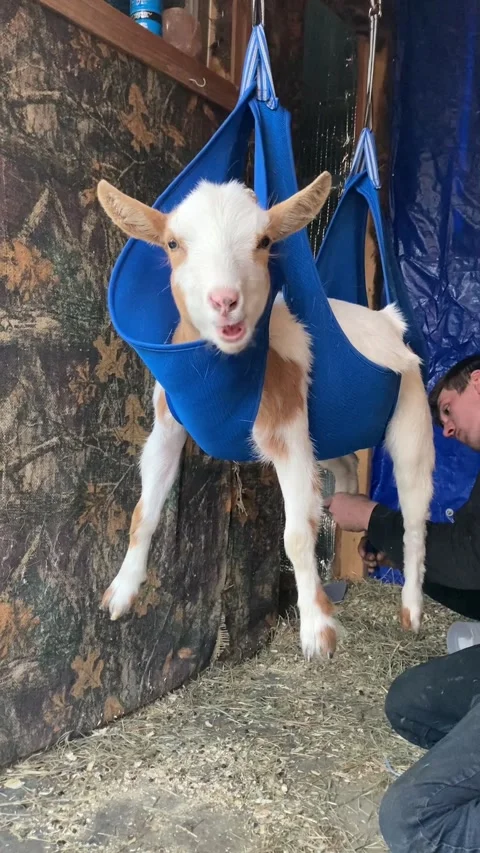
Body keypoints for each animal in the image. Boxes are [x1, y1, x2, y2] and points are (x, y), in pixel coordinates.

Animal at [97, 174, 434, 659]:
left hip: (411, 412)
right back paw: (343, 509)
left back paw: (411, 610)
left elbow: (296, 534)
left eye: (264, 241)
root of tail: (386, 319)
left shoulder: (286, 431)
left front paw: (317, 631)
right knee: (346, 464)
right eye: (173, 243)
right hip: (328, 436)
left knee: (413, 511)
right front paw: (122, 591)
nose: (224, 300)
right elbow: (144, 510)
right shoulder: (167, 425)